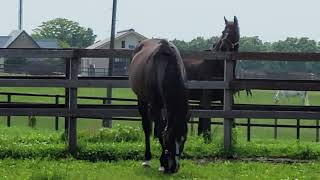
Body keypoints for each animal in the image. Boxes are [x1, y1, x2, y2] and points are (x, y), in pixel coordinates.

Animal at [129, 38, 190, 174]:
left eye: (184, 139)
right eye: (169, 139)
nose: (174, 167)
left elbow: (160, 129)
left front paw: (163, 163)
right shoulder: (154, 106)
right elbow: (160, 129)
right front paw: (163, 163)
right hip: (142, 100)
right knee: (147, 127)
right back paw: (147, 159)